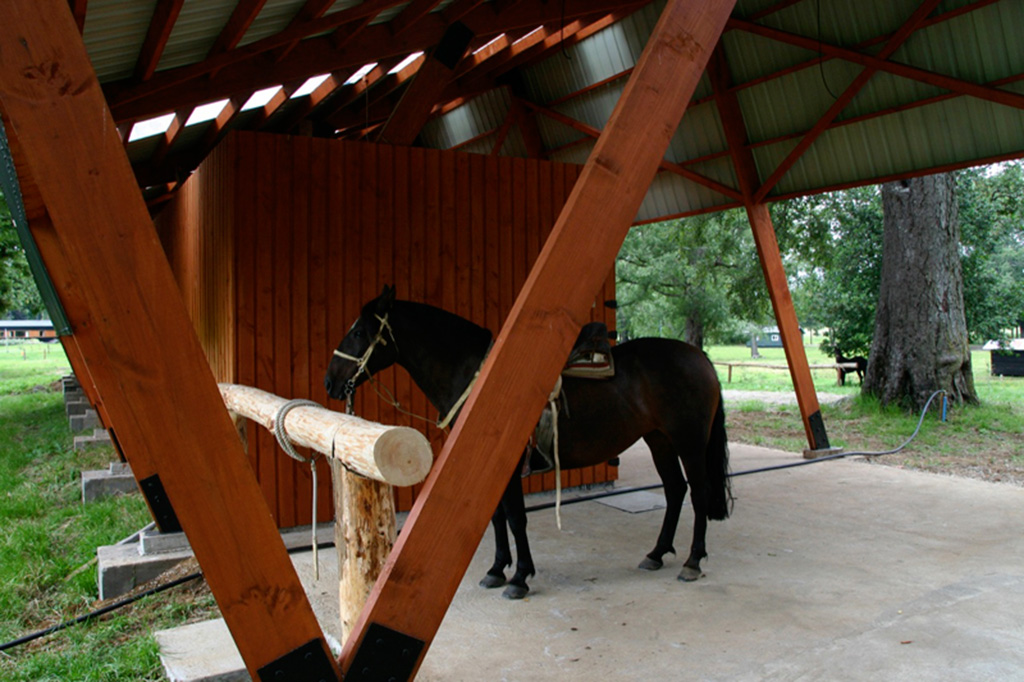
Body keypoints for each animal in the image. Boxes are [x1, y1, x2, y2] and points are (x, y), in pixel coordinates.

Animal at [323, 284, 733, 598]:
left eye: (358, 332)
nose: (329, 382)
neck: (479, 379)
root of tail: (699, 356)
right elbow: (498, 517)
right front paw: (496, 569)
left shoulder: (509, 466)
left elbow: (516, 518)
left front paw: (519, 577)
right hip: (659, 439)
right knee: (675, 491)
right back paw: (657, 553)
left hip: (689, 441)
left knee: (697, 493)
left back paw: (692, 561)